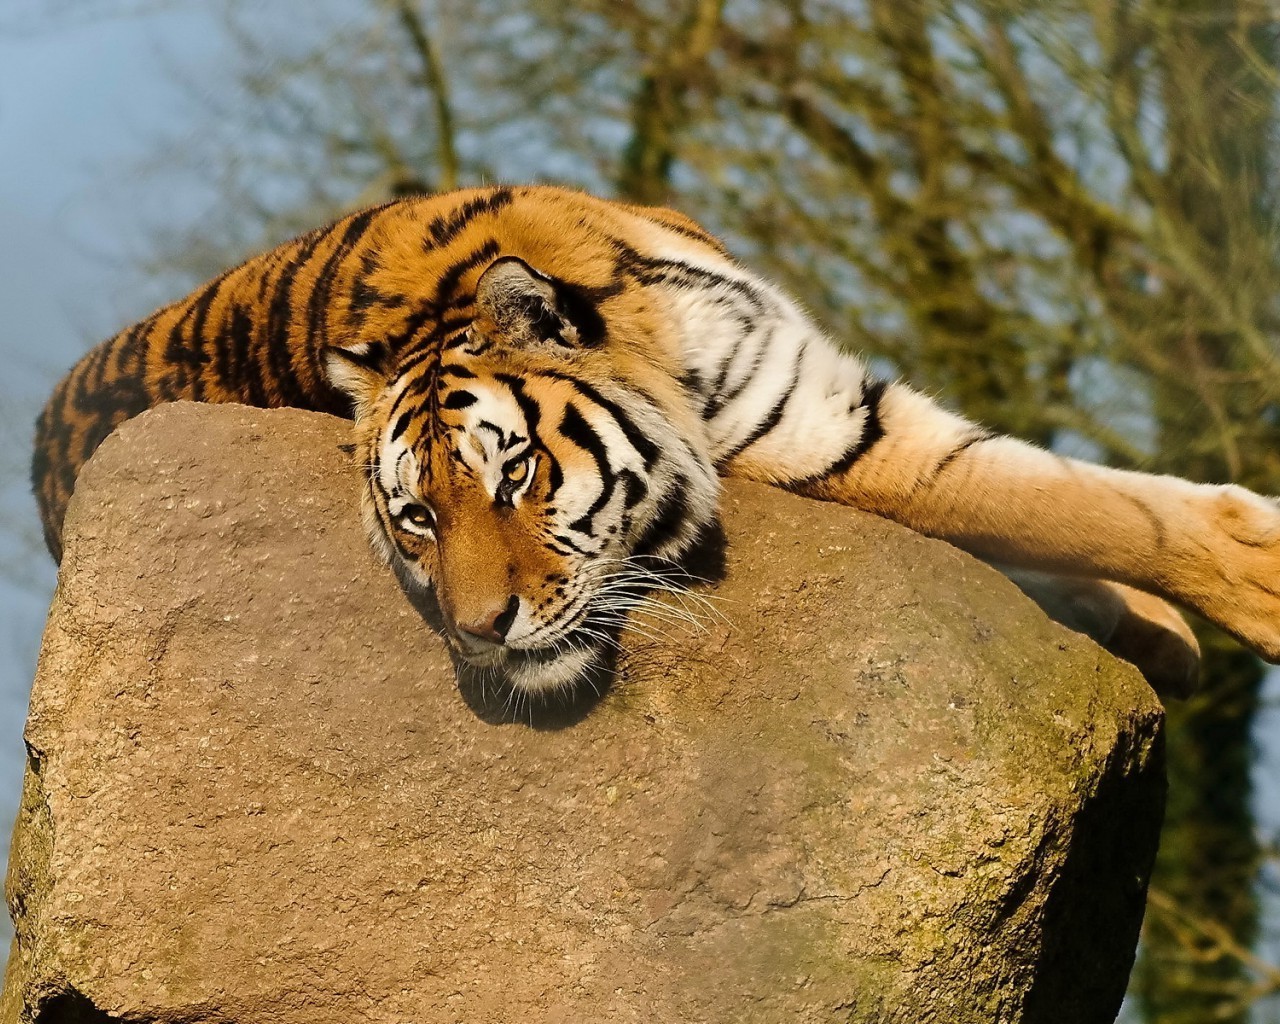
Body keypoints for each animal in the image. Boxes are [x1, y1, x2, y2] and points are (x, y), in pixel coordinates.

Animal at [30, 181, 1280, 696]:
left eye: (516, 473)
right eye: (418, 518)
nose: (478, 631)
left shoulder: (823, 398)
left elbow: (1069, 503)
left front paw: (1163, 625)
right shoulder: (833, 444)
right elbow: (1070, 508)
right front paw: (1245, 588)